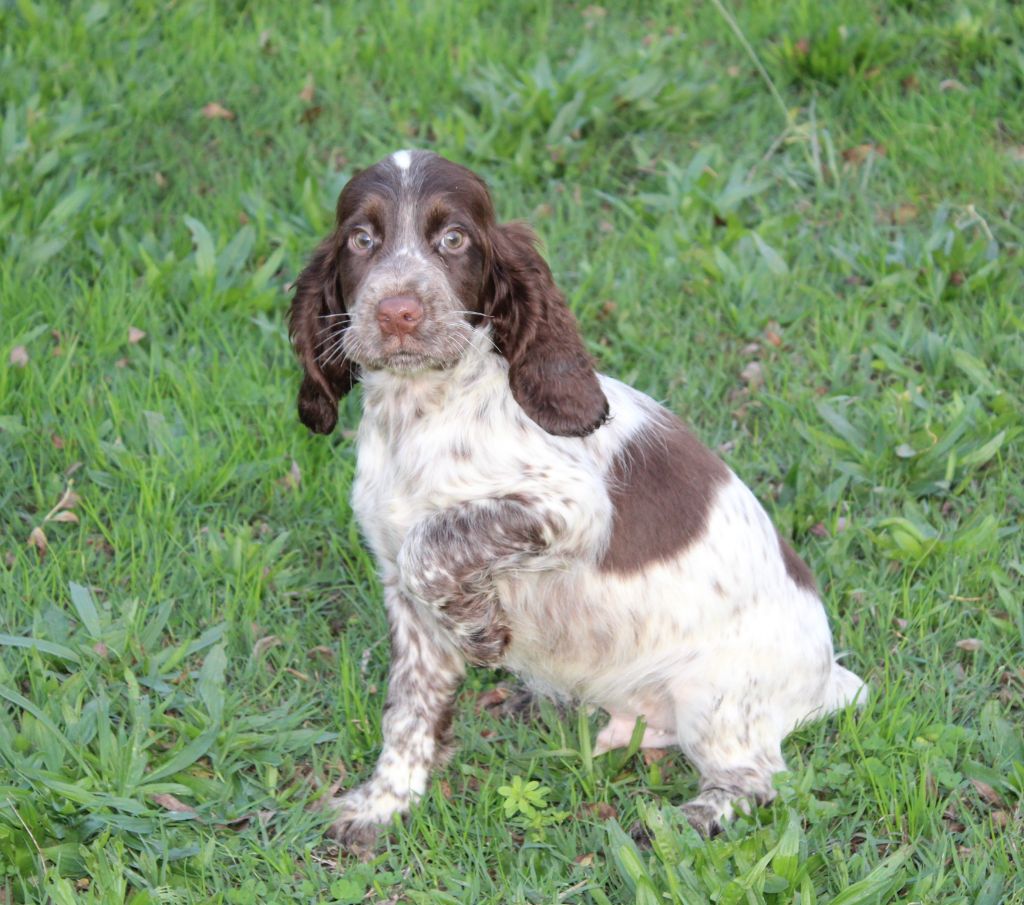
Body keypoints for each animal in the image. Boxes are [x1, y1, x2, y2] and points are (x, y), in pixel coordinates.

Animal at [288, 148, 864, 847]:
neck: (421, 412)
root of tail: (828, 678)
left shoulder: (573, 507)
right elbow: (409, 710)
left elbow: (437, 539)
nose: (399, 311)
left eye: (453, 240)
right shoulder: (402, 592)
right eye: (361, 241)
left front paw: (482, 629)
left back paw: (685, 821)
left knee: (755, 779)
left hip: (717, 695)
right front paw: (384, 804)